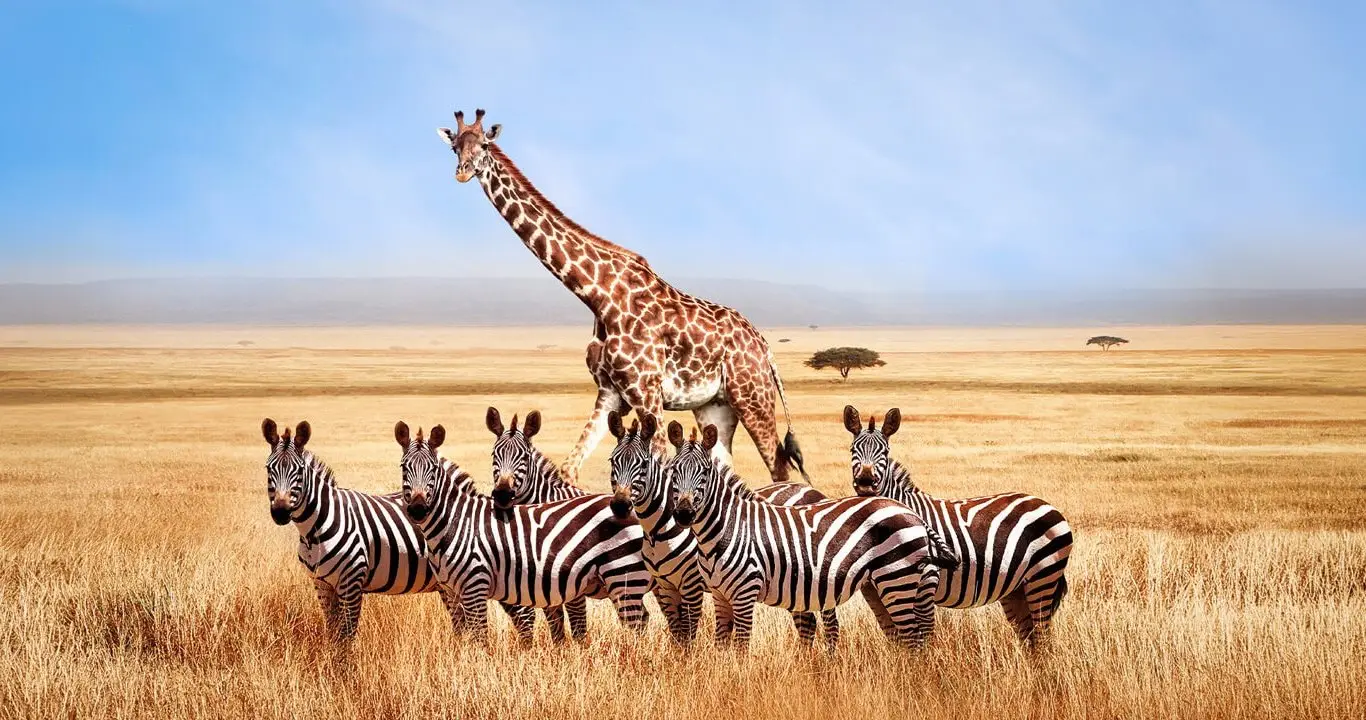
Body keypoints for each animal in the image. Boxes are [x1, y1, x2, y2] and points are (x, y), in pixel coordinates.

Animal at [259, 418, 532, 643]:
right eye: (268, 469)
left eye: (298, 471)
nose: (280, 513)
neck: (315, 528)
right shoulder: (322, 584)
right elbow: (333, 634)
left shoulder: (351, 580)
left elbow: (346, 637)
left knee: (523, 615)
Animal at [396, 419, 651, 644]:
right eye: (404, 467)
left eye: (432, 469)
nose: (417, 510)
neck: (455, 522)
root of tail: (630, 508)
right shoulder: (452, 591)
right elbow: (462, 635)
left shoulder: (476, 584)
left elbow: (480, 638)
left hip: (623, 575)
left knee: (635, 624)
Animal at [437, 109, 808, 486]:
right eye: (455, 146)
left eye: (484, 145)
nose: (462, 172)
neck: (597, 295)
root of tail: (764, 347)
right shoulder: (610, 393)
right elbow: (568, 469)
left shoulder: (646, 392)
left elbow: (660, 465)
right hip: (714, 405)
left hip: (751, 397)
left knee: (780, 469)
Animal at [667, 420, 958, 649]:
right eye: (673, 471)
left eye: (704, 473)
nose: (683, 514)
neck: (725, 528)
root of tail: (910, 511)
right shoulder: (720, 596)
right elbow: (721, 647)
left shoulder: (745, 593)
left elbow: (740, 648)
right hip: (889, 582)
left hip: (897, 578)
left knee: (912, 639)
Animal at [844, 405, 1073, 649]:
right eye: (852, 450)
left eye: (885, 452)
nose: (866, 482)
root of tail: (1046, 504)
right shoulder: (874, 591)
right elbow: (894, 638)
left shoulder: (926, 581)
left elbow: (923, 636)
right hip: (1017, 587)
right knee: (1030, 637)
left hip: (1043, 576)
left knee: (1042, 634)